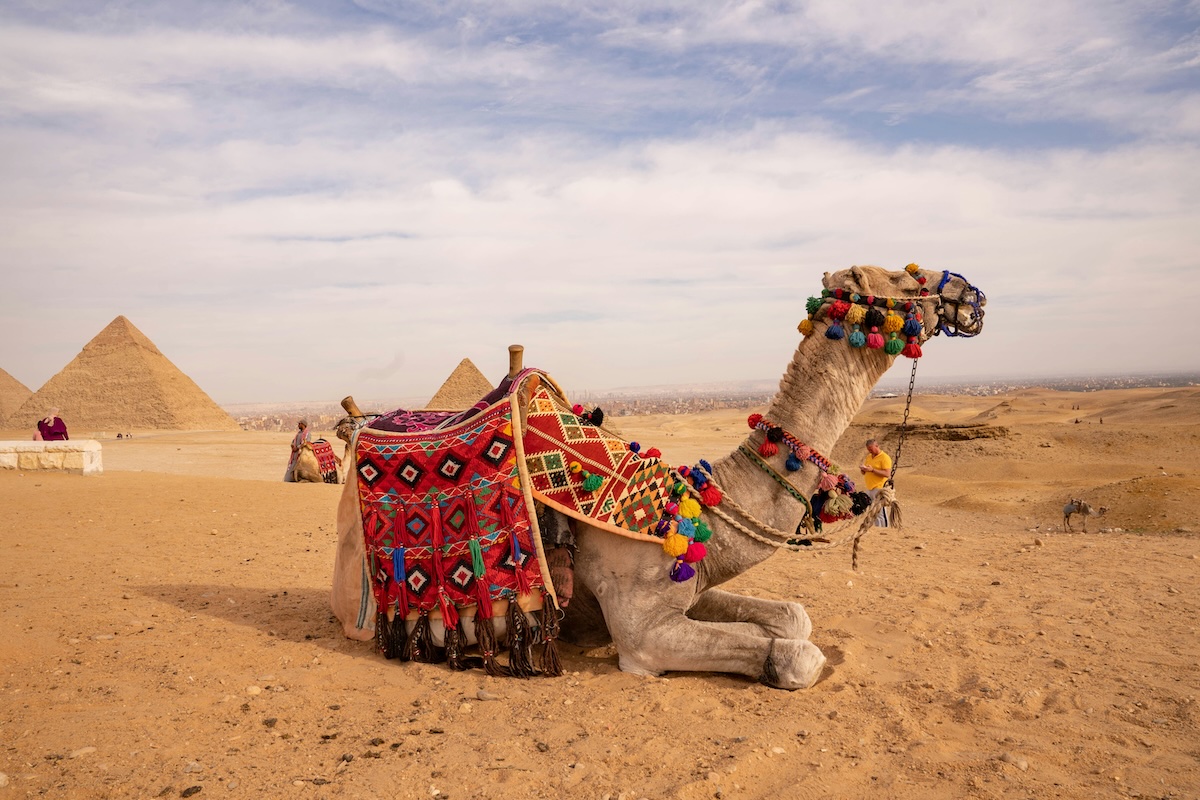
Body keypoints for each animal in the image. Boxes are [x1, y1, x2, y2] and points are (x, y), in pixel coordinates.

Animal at [331, 264, 985, 688]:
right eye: (904, 279)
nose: (965, 291)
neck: (695, 504)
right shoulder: (645, 634)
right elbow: (797, 655)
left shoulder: (691, 587)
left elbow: (791, 616)